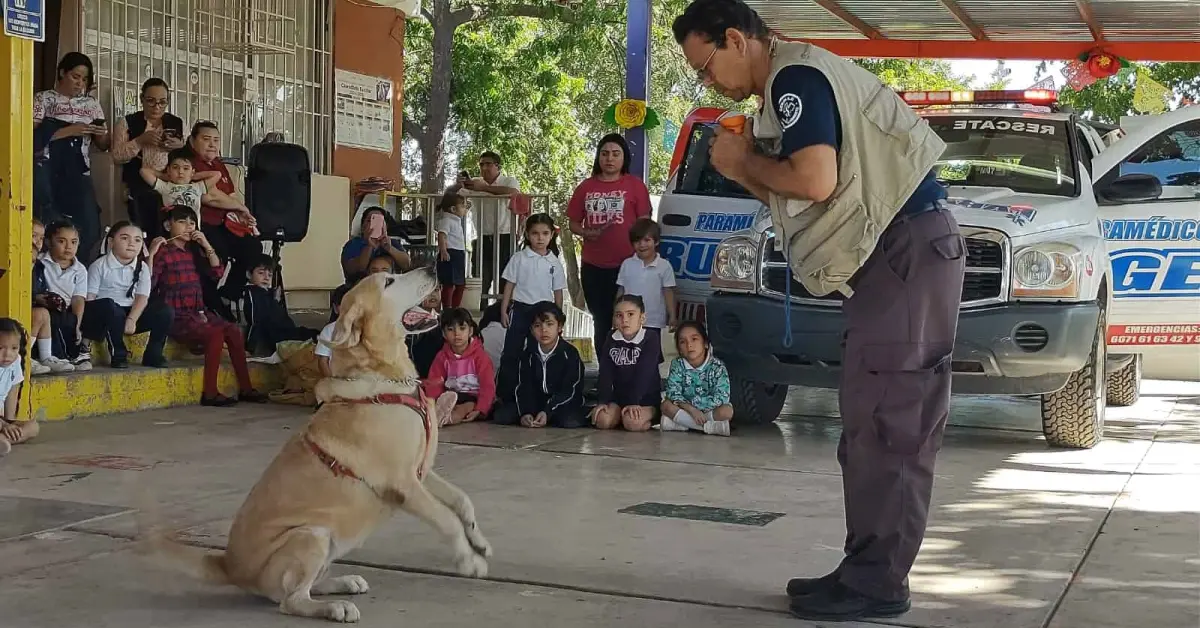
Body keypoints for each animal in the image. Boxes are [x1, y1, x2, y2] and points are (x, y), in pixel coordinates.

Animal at [141, 268, 492, 624]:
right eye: (389, 281)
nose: (434, 268)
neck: (383, 378)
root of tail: (229, 566)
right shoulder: (403, 483)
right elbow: (447, 520)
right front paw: (469, 561)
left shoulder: (421, 472)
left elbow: (462, 502)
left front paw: (479, 542)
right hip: (311, 535)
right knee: (291, 600)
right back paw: (335, 607)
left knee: (306, 587)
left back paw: (343, 583)